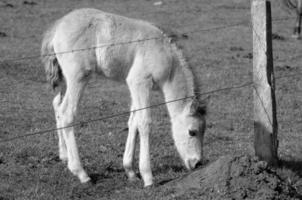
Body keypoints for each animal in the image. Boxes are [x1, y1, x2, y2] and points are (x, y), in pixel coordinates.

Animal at [41, 8, 208, 186]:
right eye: (192, 132)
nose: (197, 163)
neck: (167, 58)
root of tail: (58, 26)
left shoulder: (135, 86)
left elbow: (133, 121)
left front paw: (130, 171)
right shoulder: (139, 82)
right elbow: (144, 122)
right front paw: (148, 177)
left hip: (64, 77)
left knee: (57, 105)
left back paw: (64, 156)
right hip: (78, 76)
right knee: (67, 113)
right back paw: (81, 173)